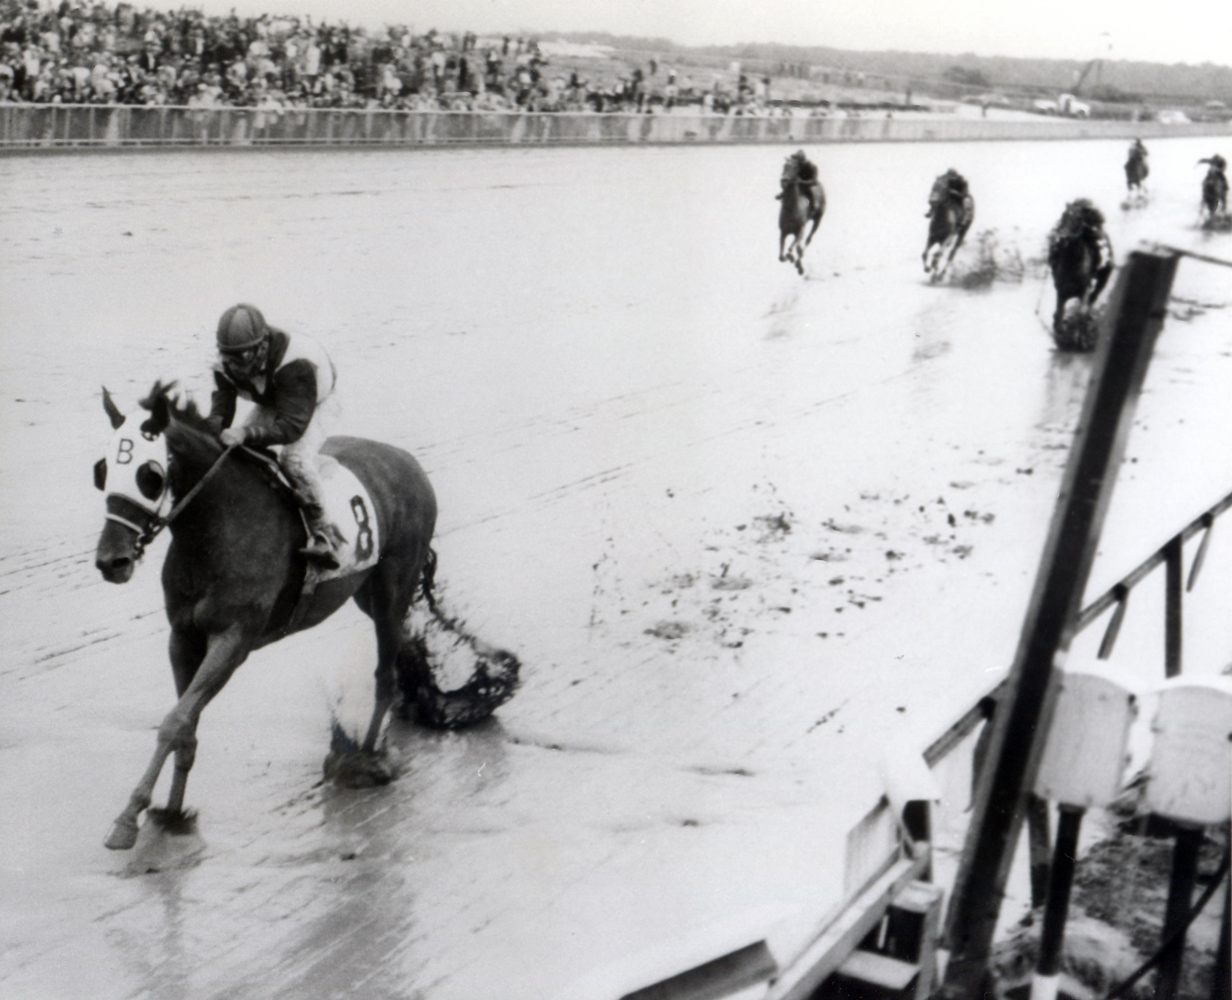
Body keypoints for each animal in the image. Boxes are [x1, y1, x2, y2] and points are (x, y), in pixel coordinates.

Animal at [93, 381, 517, 852]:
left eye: (148, 475)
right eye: (102, 471)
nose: (111, 560)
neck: (218, 526)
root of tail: (407, 461)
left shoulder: (233, 639)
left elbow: (175, 721)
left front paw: (128, 818)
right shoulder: (182, 637)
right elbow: (185, 723)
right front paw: (171, 811)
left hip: (395, 582)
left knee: (384, 673)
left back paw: (365, 760)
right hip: (366, 591)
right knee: (402, 645)